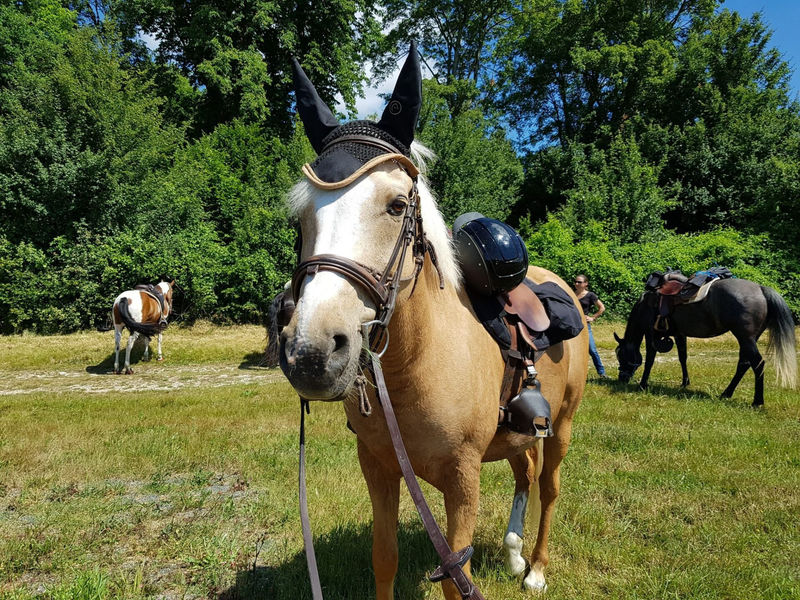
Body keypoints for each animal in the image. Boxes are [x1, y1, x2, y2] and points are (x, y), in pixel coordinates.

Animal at [282, 48, 588, 600]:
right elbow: (384, 558)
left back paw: (535, 567)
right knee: (524, 473)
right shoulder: (378, 467)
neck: (416, 364)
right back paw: (512, 552)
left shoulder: (463, 482)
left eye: (397, 204)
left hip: (563, 427)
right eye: (300, 218)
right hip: (519, 435)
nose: (312, 354)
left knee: (549, 487)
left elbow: (455, 578)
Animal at [612, 278, 792, 406]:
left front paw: (643, 384)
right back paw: (726, 393)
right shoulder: (679, 334)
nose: (622, 378)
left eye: (621, 355)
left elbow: (649, 360)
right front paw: (685, 382)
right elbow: (682, 357)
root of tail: (761, 289)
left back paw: (757, 401)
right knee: (744, 364)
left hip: (745, 338)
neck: (646, 304)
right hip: (749, 339)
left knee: (758, 364)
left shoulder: (651, 334)